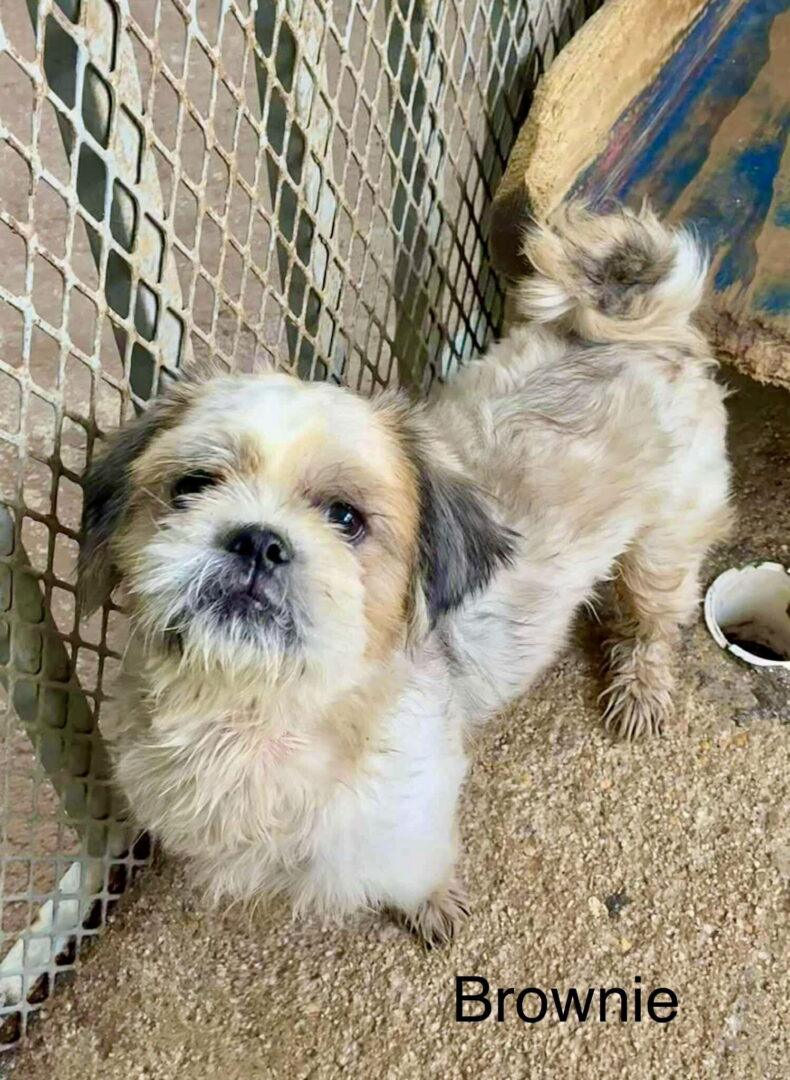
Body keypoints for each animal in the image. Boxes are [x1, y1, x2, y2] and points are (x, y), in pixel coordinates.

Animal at [79, 203, 730, 944]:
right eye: (191, 486)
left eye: (346, 517)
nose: (259, 540)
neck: (255, 716)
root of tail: (645, 331)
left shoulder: (407, 821)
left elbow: (417, 872)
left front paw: (432, 906)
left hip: (663, 550)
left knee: (652, 623)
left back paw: (640, 686)